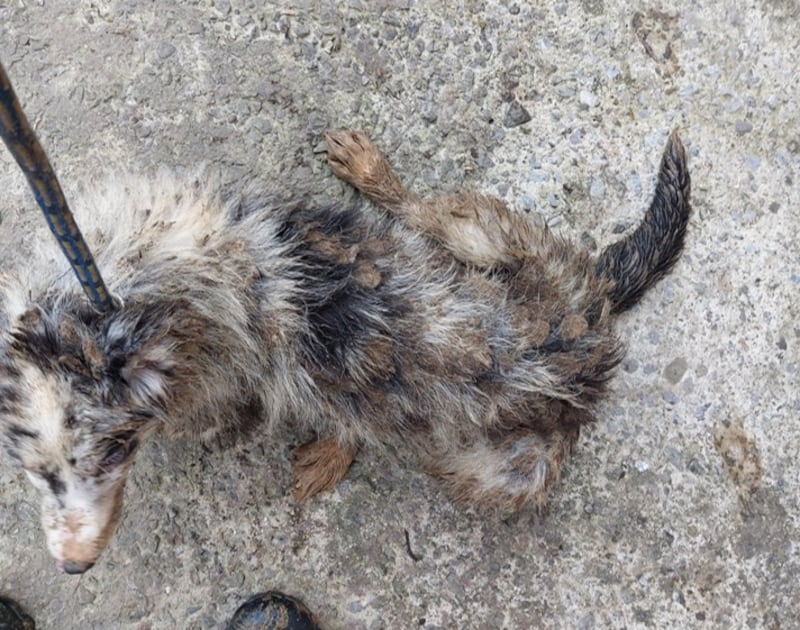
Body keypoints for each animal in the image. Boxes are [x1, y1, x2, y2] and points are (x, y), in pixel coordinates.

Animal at [0, 131, 688, 576]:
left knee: (416, 213)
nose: (73, 566)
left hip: (500, 471)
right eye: (31, 467)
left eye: (112, 452)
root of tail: (592, 312)